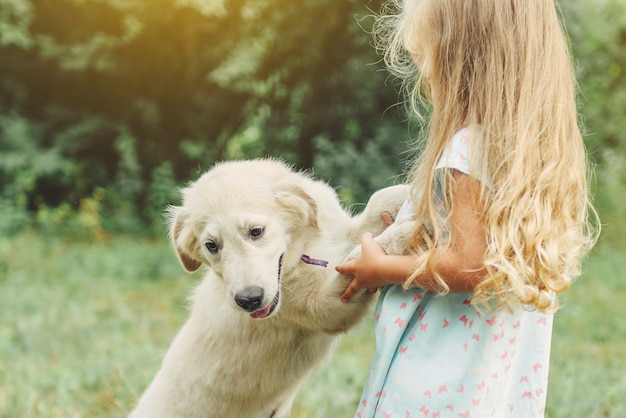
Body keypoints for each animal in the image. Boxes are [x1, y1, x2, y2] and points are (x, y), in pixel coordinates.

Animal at [128, 158, 410, 418]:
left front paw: (409, 196)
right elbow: (355, 262)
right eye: (211, 246)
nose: (249, 300)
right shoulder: (325, 308)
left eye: (256, 231)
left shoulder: (340, 237)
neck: (302, 254)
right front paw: (398, 240)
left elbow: (377, 201)